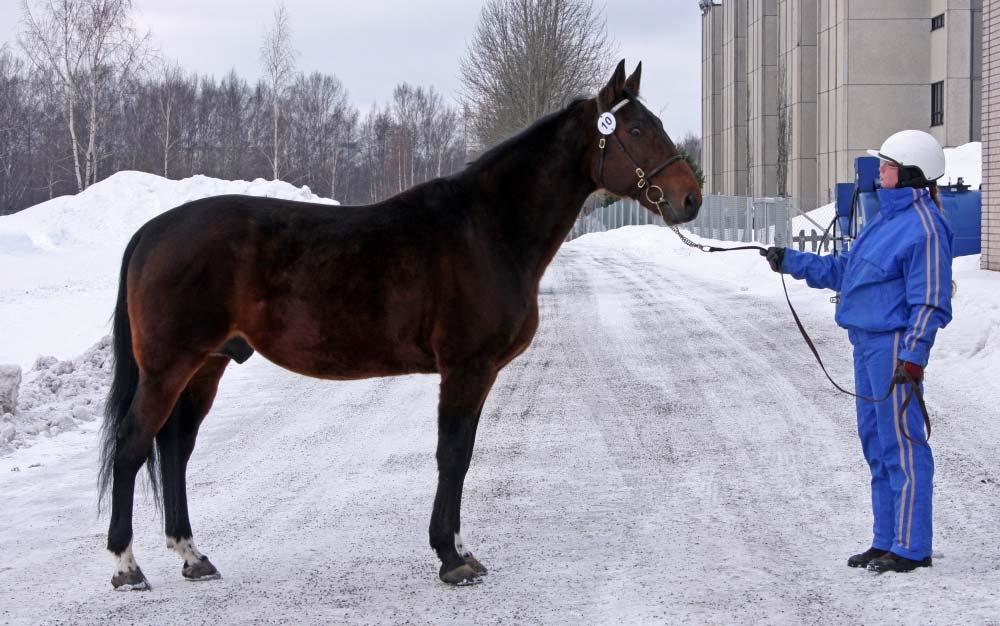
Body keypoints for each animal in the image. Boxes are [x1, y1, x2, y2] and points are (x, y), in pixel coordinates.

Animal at [97, 61, 700, 588]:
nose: (689, 197)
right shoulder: (465, 369)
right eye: (638, 129)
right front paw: (450, 558)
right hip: (169, 367)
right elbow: (451, 455)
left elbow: (463, 456)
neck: (487, 230)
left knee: (174, 448)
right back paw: (127, 568)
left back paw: (192, 556)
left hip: (207, 365)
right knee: (133, 446)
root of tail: (152, 231)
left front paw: (460, 550)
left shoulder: (478, 373)